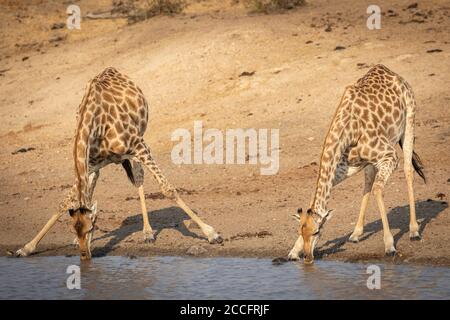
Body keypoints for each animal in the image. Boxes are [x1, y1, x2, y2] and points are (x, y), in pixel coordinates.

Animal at [13, 67, 224, 260]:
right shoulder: (91, 164)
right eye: (75, 229)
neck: (95, 124)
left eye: (91, 228)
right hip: (104, 163)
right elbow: (64, 202)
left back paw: (148, 232)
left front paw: (212, 234)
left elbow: (167, 189)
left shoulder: (139, 146)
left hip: (139, 143)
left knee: (139, 180)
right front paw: (27, 247)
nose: (85, 257)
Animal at [288, 63, 426, 264]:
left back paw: (414, 231)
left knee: (408, 170)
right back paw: (355, 234)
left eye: (317, 232)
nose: (307, 258)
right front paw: (292, 252)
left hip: (409, 120)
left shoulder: (390, 155)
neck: (348, 130)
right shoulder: (343, 168)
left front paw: (389, 246)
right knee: (368, 182)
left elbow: (378, 190)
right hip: (369, 161)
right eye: (300, 231)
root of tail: (393, 73)